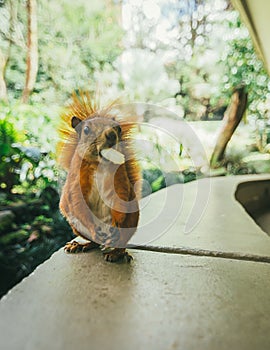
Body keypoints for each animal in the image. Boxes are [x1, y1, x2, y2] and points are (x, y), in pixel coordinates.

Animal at [57, 91, 141, 262]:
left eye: (119, 129)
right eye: (86, 130)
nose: (111, 135)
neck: (99, 164)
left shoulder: (120, 179)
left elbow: (121, 196)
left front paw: (116, 223)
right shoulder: (76, 181)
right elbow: (77, 201)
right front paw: (92, 228)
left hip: (129, 224)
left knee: (120, 243)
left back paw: (117, 253)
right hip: (76, 227)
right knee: (94, 242)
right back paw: (80, 244)